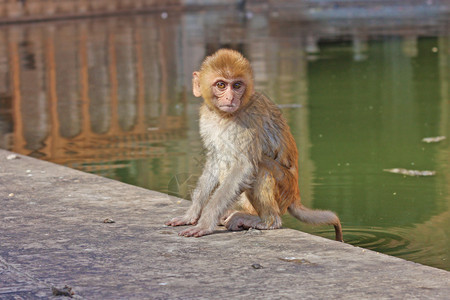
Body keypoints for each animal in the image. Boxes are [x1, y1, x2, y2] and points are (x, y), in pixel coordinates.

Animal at [166, 49, 344, 241]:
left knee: (260, 168)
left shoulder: (246, 122)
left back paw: (266, 221)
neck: (223, 116)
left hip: (284, 189)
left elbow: (244, 167)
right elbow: (215, 160)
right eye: (221, 85)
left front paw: (205, 223)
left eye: (237, 85)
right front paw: (191, 214)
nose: (230, 97)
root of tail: (295, 195)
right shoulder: (207, 118)